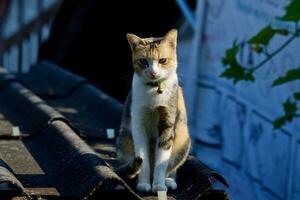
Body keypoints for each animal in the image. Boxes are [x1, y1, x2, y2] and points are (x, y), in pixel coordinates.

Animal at [116, 28, 191, 193]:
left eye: (162, 60)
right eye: (144, 61)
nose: (153, 73)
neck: (154, 90)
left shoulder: (168, 123)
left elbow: (162, 161)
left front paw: (158, 185)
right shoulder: (138, 124)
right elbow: (142, 158)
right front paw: (144, 184)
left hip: (183, 140)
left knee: (170, 167)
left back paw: (168, 181)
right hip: (124, 138)